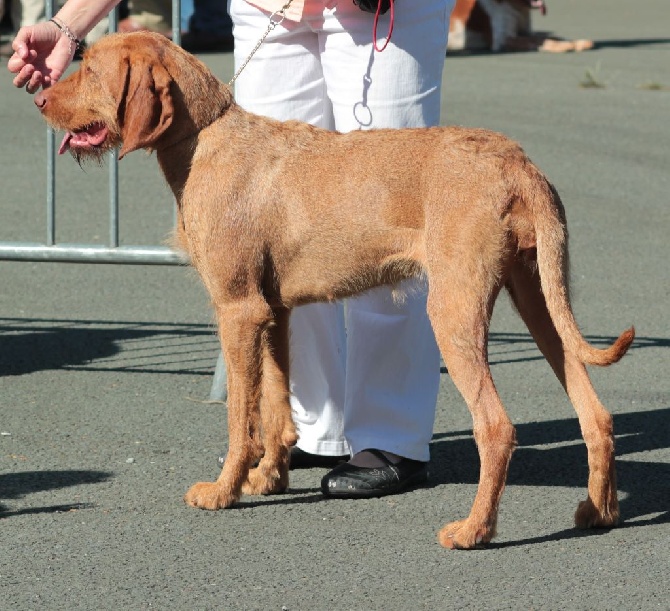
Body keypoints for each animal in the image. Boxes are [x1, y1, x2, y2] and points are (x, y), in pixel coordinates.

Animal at [34, 32, 636, 548]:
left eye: (89, 68)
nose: (38, 98)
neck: (205, 137)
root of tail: (520, 164)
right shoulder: (273, 311)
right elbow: (277, 405)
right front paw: (267, 478)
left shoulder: (237, 310)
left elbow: (240, 418)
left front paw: (223, 491)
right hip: (540, 299)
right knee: (596, 413)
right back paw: (598, 511)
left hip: (454, 310)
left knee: (497, 427)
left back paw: (473, 531)